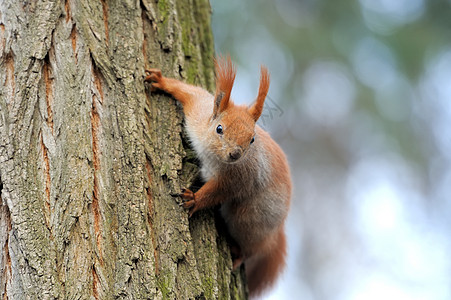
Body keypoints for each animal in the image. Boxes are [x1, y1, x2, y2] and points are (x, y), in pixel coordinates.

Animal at [146, 56, 294, 298]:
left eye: (252, 139)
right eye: (219, 129)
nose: (235, 154)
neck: (212, 154)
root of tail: (276, 231)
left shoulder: (240, 177)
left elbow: (218, 192)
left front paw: (194, 200)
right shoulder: (198, 112)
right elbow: (190, 92)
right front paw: (161, 81)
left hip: (249, 219)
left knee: (252, 248)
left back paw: (240, 254)